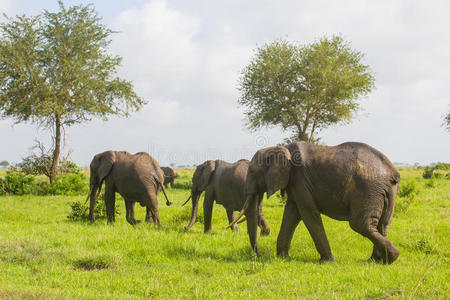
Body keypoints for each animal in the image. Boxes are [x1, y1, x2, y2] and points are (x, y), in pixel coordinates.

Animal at [230, 142, 400, 264]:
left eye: (252, 172)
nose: (259, 256)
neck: (280, 148)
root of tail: (392, 171)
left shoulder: (300, 180)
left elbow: (308, 215)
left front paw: (327, 261)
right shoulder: (295, 184)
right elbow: (291, 215)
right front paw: (283, 258)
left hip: (367, 188)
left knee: (361, 224)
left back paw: (392, 256)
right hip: (386, 191)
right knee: (383, 224)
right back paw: (378, 260)